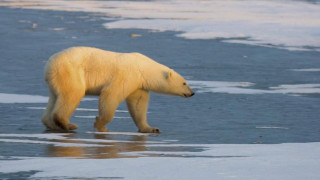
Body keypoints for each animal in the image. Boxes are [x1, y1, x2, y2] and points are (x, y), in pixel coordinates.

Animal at [41, 47, 194, 133]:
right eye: (184, 83)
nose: (192, 93)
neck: (143, 68)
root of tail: (49, 64)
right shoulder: (127, 75)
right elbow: (111, 95)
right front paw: (101, 125)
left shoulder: (138, 84)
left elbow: (138, 104)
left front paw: (151, 128)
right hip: (71, 72)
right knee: (73, 94)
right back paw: (68, 124)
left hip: (56, 79)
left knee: (55, 97)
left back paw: (51, 124)